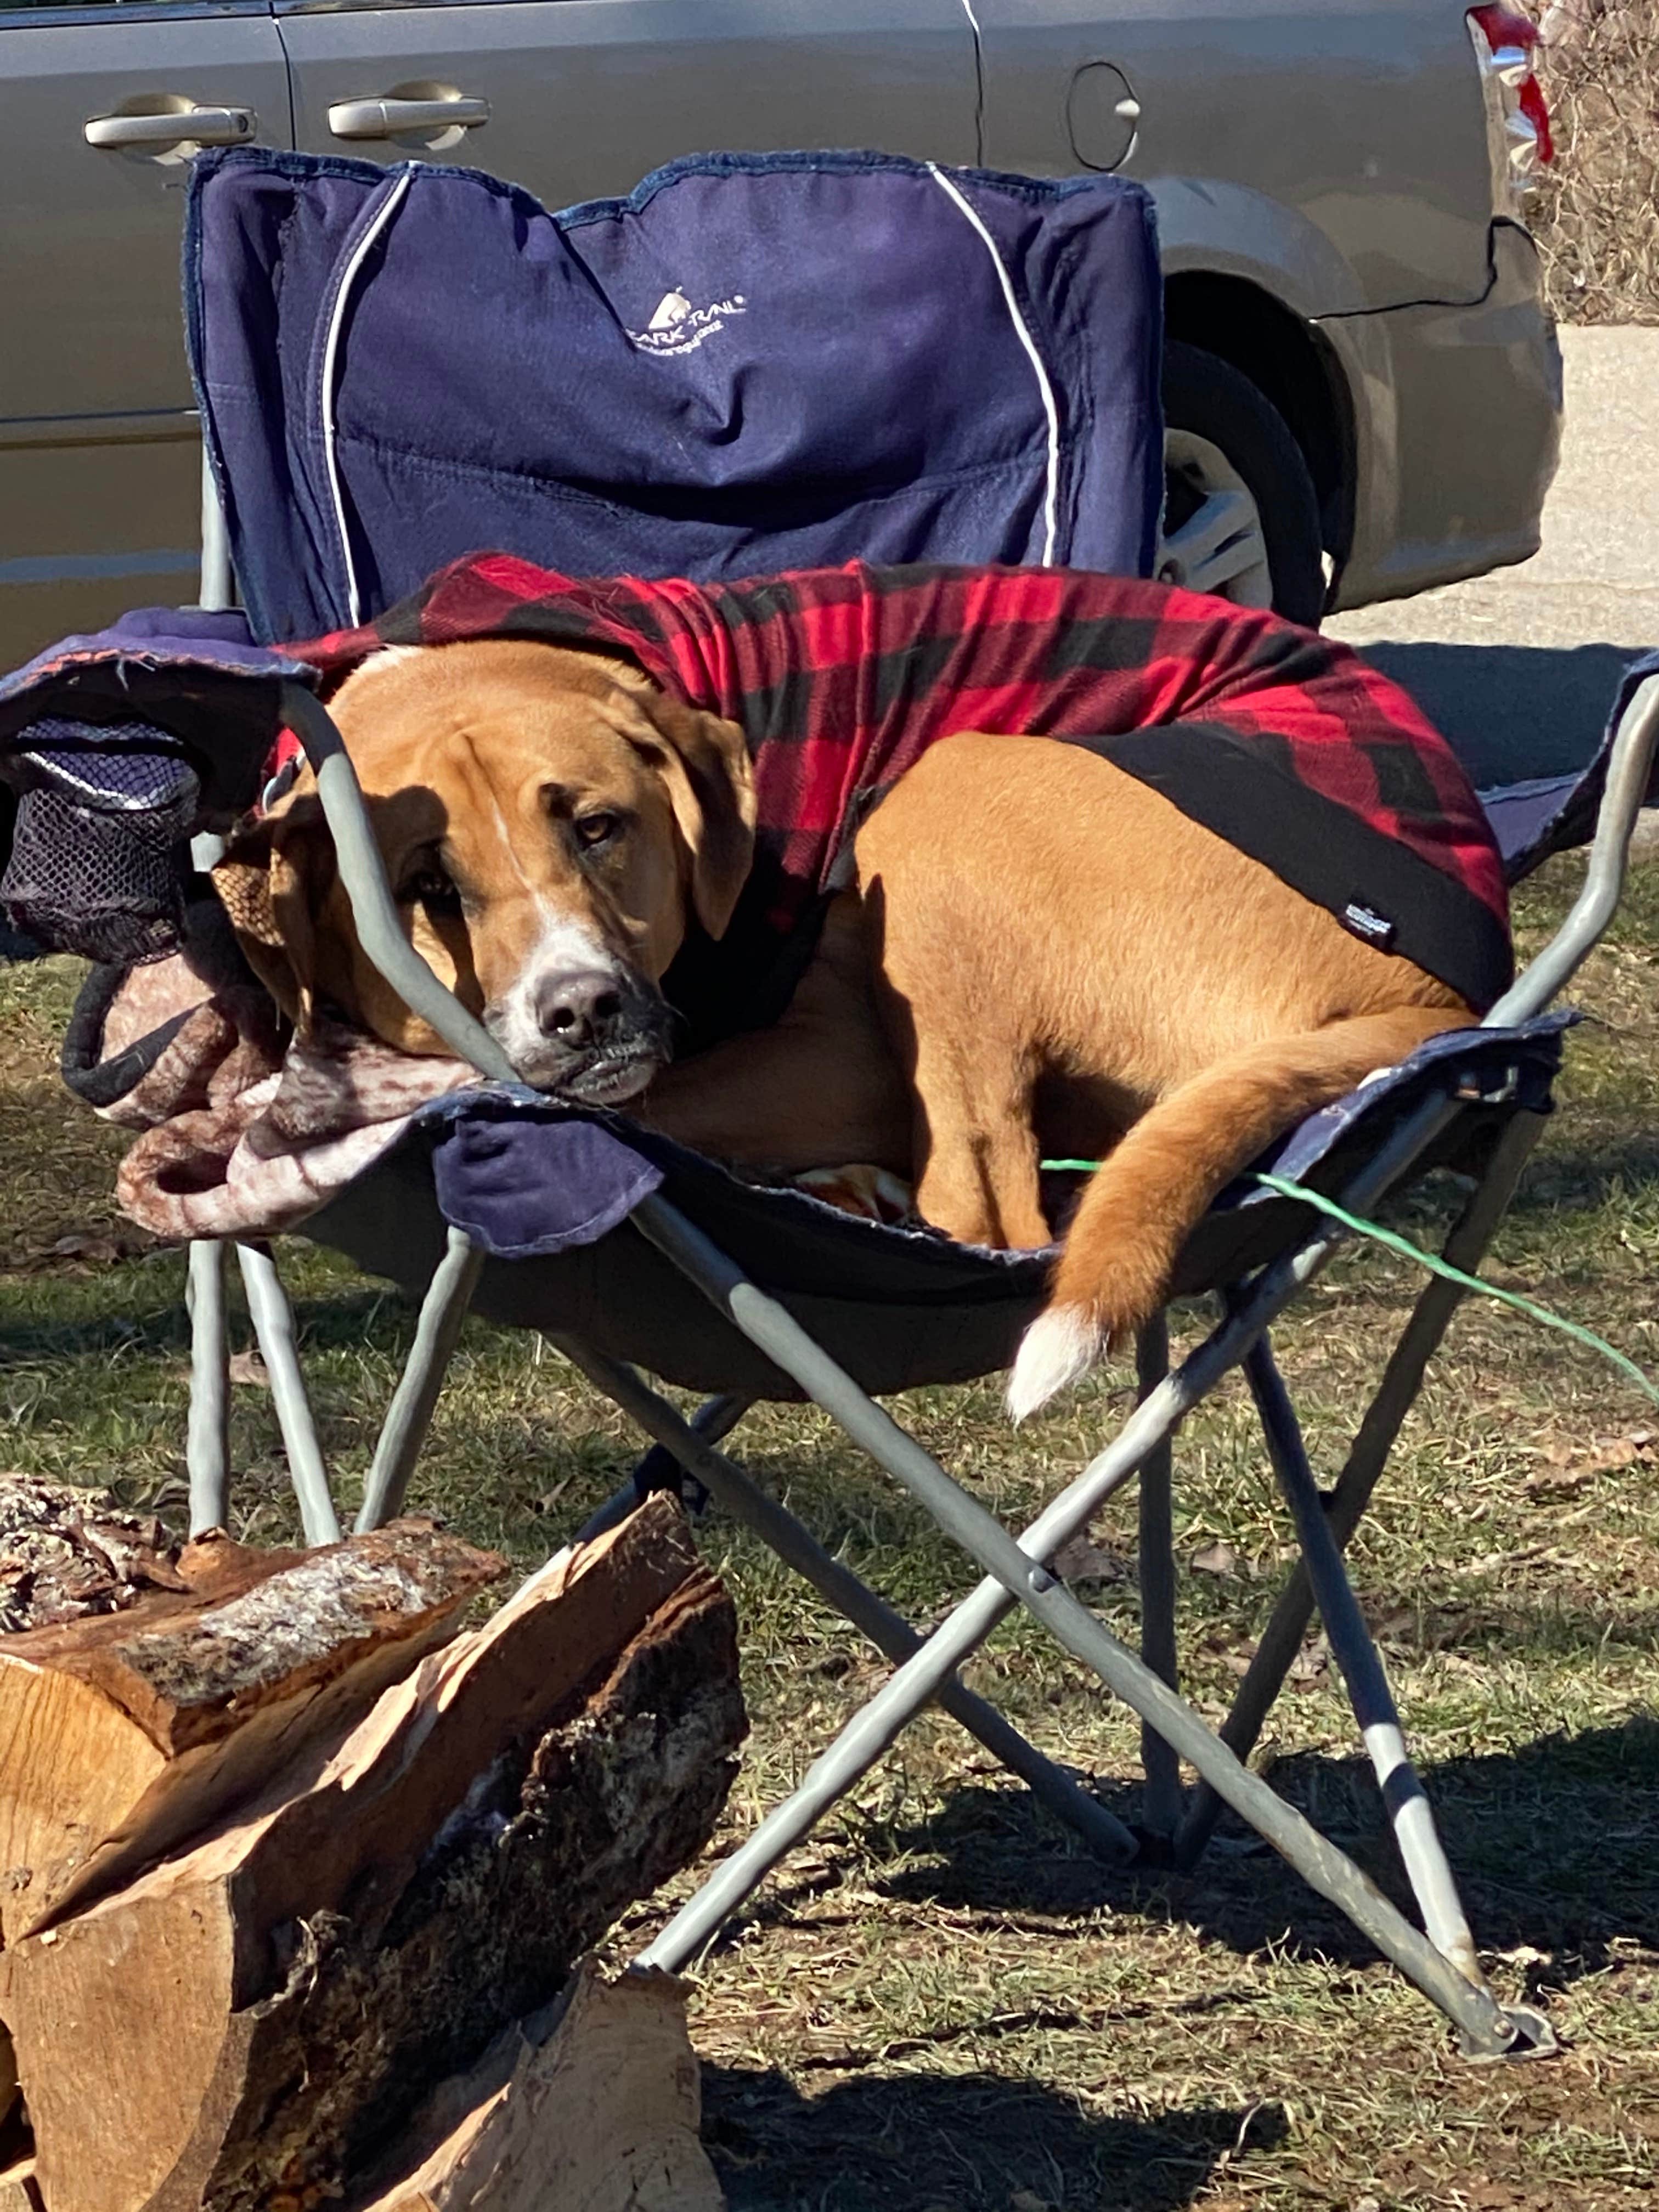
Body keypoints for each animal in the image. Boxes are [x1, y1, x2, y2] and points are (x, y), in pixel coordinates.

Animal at [215, 641, 1477, 1415]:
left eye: (598, 825)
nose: (582, 1010)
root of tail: (1446, 998)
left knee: (990, 1208)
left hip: (943, 799)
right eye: (426, 887)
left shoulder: (842, 1054)